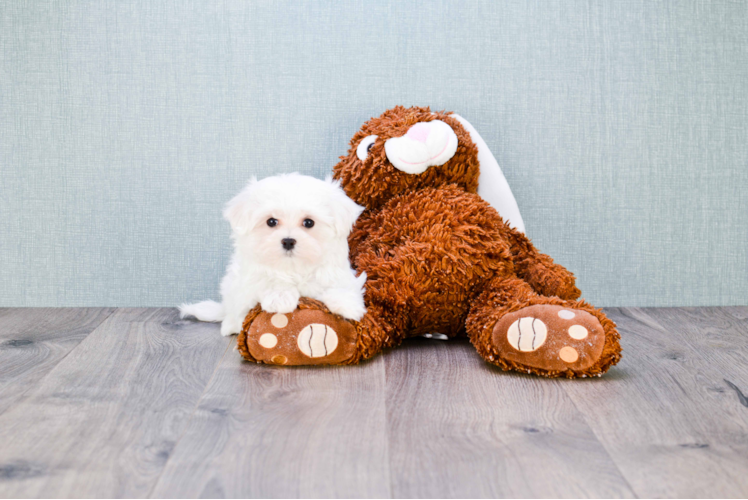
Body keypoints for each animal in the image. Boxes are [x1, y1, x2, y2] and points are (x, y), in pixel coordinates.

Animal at [181, 172, 368, 336]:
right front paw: (280, 298)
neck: (293, 268)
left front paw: (348, 304)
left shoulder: (336, 272)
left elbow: (337, 285)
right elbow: (271, 279)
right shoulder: (251, 277)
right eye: (271, 221)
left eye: (309, 222)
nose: (288, 241)